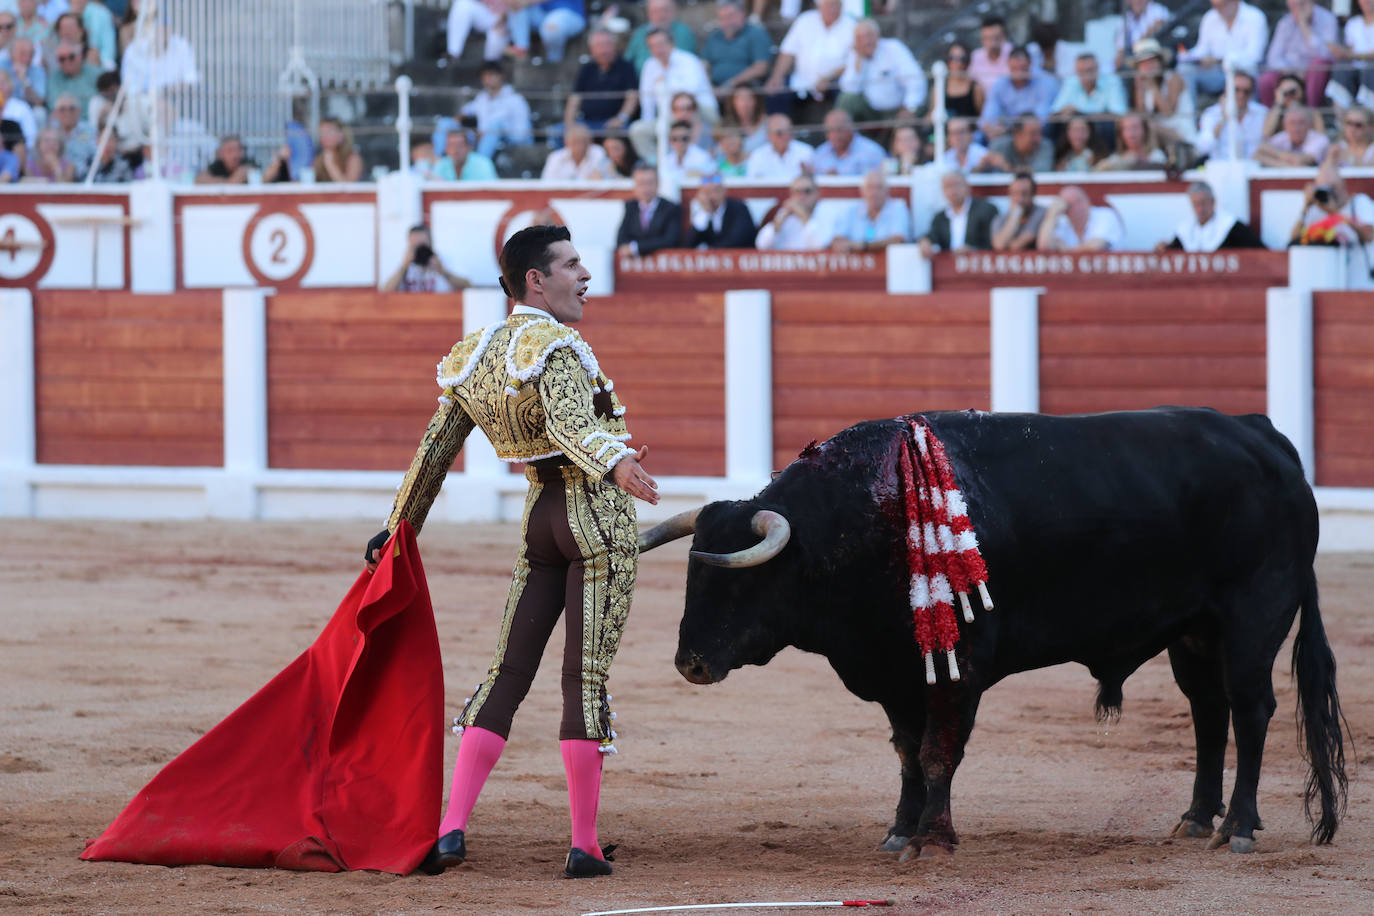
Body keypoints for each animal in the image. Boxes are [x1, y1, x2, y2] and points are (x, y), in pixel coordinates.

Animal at [637, 409, 1346, 862]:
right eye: (691, 580)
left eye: (740, 584)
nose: (690, 662)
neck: (865, 515)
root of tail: (1264, 436)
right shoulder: (897, 675)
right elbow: (907, 753)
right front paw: (901, 831)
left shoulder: (958, 671)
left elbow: (937, 753)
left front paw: (933, 839)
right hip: (1193, 632)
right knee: (1207, 712)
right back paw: (1197, 820)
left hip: (1253, 617)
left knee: (1251, 710)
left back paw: (1240, 828)